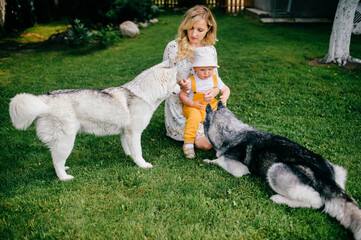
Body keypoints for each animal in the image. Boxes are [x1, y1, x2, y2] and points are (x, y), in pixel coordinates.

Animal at [8, 62, 177, 180]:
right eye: (176, 82)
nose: (181, 86)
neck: (144, 94)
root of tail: (44, 99)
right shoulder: (134, 133)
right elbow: (138, 152)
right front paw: (142, 165)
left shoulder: (125, 133)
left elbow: (129, 150)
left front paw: (130, 158)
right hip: (66, 141)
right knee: (56, 162)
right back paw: (64, 178)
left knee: (56, 159)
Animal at [204, 101, 358, 238]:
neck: (235, 132)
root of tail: (327, 176)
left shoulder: (238, 169)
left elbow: (220, 160)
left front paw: (209, 161)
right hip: (339, 170)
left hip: (275, 170)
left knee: (316, 201)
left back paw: (279, 199)